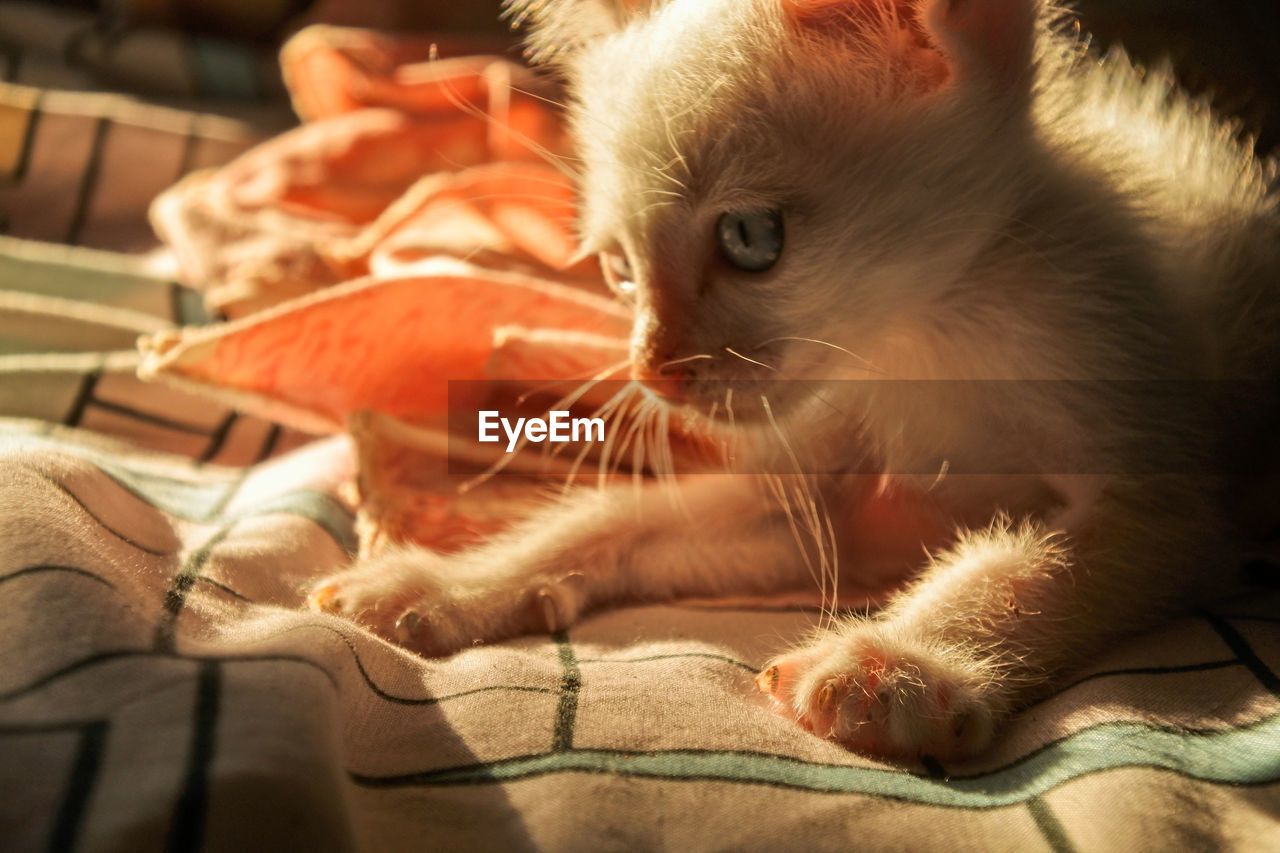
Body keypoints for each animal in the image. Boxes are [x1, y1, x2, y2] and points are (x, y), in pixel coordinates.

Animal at [309, 0, 1280, 758]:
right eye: (619, 268)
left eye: (750, 238)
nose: (654, 373)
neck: (923, 330)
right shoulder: (831, 502)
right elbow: (618, 519)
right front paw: (445, 585)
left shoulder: (1158, 481)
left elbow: (1036, 564)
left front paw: (897, 666)